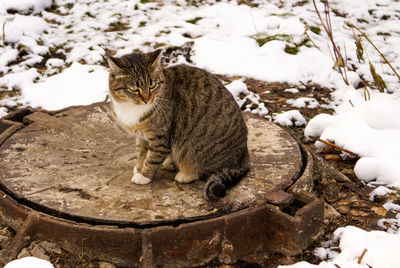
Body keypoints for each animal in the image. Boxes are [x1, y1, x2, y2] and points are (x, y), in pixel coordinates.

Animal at [108, 49, 248, 199]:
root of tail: (244, 157)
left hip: (195, 147)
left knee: (206, 169)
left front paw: (144, 175)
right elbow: (141, 153)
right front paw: (139, 168)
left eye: (152, 85)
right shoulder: (142, 136)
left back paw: (185, 175)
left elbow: (152, 158)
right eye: (134, 89)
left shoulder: (160, 137)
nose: (146, 99)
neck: (131, 108)